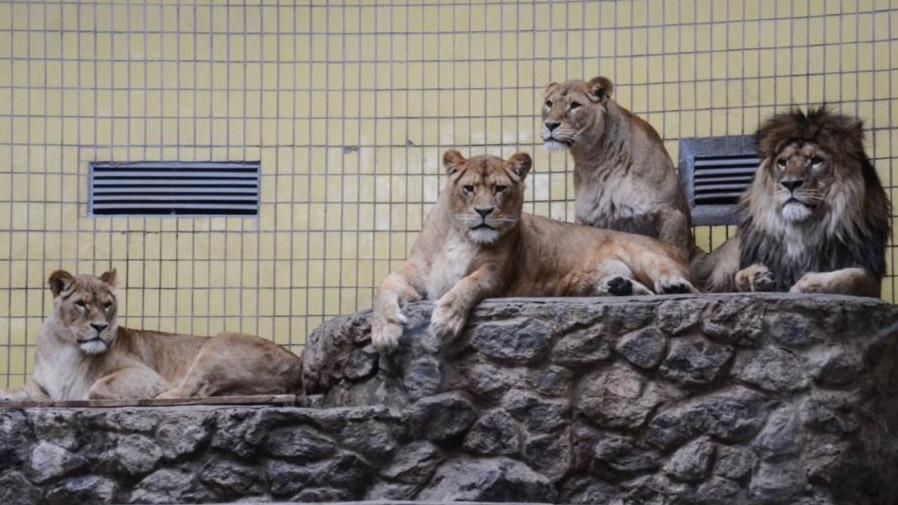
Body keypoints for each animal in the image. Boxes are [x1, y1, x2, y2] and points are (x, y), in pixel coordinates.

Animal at [0, 270, 302, 400]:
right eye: (82, 304)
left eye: (107, 304)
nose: (100, 327)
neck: (66, 348)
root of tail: (297, 364)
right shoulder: (42, 386)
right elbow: (21, 391)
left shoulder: (143, 374)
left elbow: (95, 387)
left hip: (218, 345)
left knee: (186, 391)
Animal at [372, 150, 692, 350]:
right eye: (469, 188)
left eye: (500, 188)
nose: (484, 211)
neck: (461, 236)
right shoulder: (414, 273)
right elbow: (384, 289)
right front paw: (384, 331)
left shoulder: (495, 272)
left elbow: (467, 285)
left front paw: (446, 319)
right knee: (641, 290)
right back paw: (619, 286)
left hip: (642, 251)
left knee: (673, 276)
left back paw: (674, 285)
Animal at [688, 106, 884, 296]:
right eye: (782, 162)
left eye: (816, 160)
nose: (790, 183)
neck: (802, 230)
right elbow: (739, 275)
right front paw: (756, 276)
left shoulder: (872, 277)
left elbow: (853, 277)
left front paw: (807, 284)